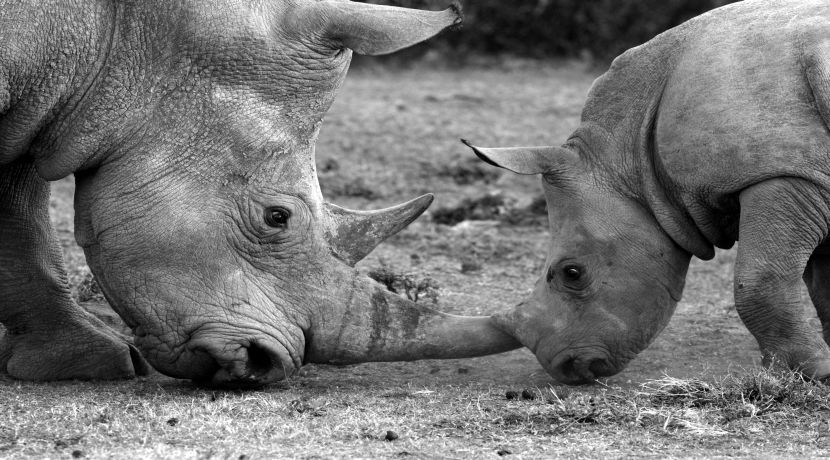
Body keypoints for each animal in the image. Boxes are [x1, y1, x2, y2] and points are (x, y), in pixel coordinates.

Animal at [0, 0, 520, 388]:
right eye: (277, 217)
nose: (262, 365)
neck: (122, 43)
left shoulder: (38, 106)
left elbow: (21, 226)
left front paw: (83, 364)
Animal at [464, 0, 830, 384]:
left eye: (572, 273)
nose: (565, 367)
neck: (631, 156)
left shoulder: (783, 173)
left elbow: (761, 278)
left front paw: (813, 374)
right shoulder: (812, 179)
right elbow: (823, 285)